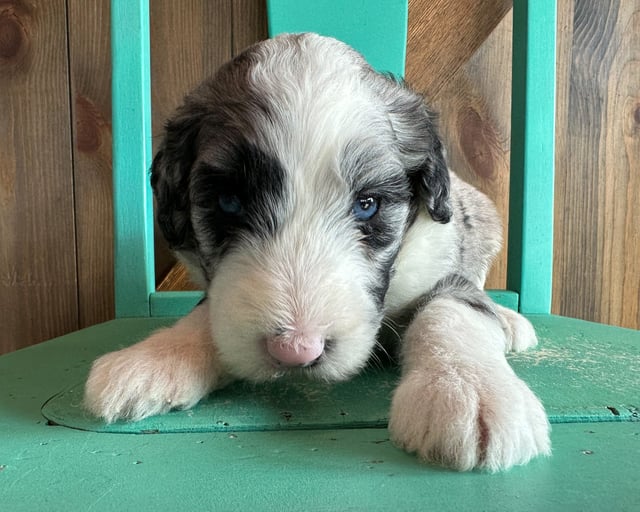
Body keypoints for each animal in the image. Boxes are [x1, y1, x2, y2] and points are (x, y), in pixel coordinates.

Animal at [87, 32, 552, 472]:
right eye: (229, 202)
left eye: (367, 204)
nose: (295, 350)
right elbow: (210, 311)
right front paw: (153, 359)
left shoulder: (438, 260)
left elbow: (453, 309)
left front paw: (468, 390)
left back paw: (510, 323)